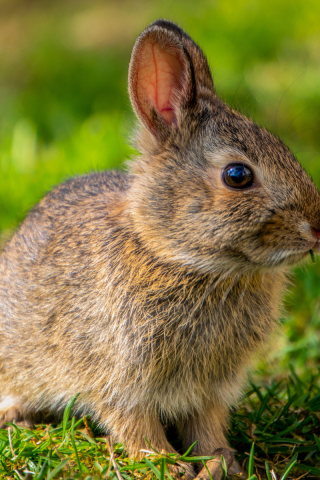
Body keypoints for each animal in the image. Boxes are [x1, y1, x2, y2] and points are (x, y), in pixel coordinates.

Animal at [0, 16, 320, 478]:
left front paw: (222, 462)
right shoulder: (119, 377)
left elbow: (206, 426)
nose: (316, 229)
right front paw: (165, 464)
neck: (178, 257)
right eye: (238, 175)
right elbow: (134, 424)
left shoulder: (210, 388)